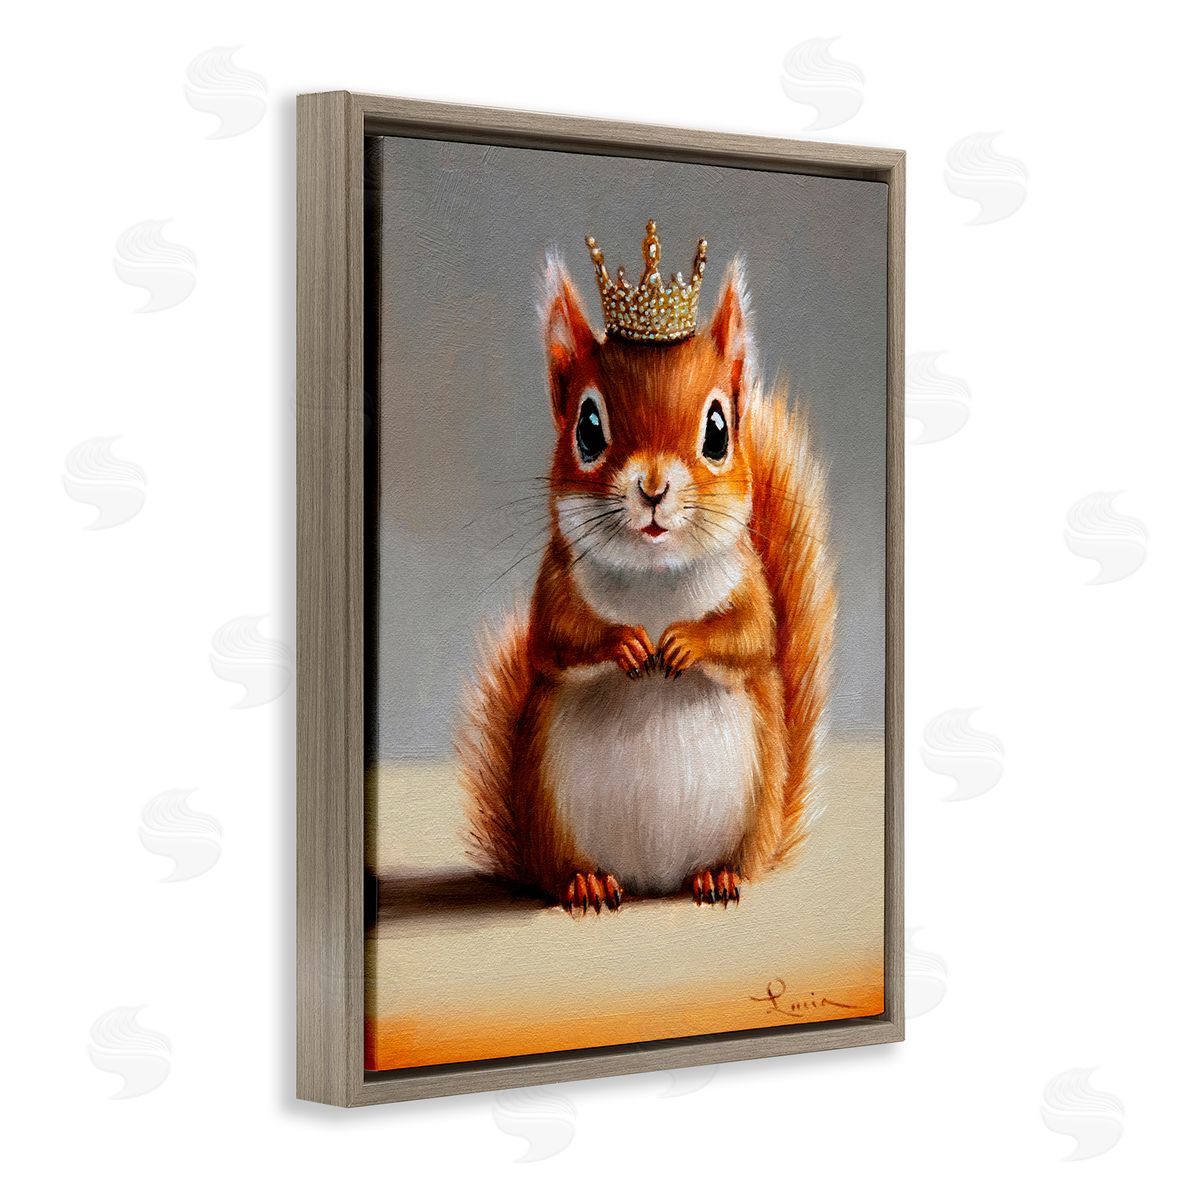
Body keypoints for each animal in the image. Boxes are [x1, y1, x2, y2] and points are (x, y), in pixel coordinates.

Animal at [457, 235, 835, 913]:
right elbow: (556, 639)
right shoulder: (555, 586)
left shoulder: (749, 585)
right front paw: (626, 643)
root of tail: (651, 881)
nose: (653, 489)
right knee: (565, 872)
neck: (655, 580)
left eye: (719, 431)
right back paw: (584, 882)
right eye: (587, 427)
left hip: (752, 808)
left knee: (732, 864)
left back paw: (717, 876)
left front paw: (684, 643)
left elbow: (751, 636)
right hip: (549, 811)